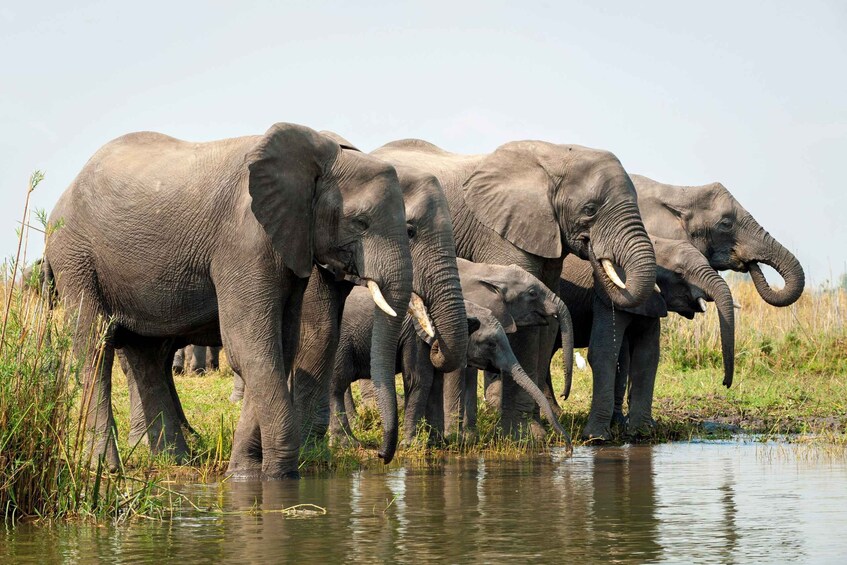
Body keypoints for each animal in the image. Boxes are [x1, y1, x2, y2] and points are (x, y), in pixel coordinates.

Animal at [43, 122, 413, 479]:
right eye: (360, 222)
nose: (381, 456)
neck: (320, 160)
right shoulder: (243, 241)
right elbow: (250, 349)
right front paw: (276, 477)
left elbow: (279, 347)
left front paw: (245, 473)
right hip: (75, 256)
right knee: (95, 347)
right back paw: (104, 468)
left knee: (146, 353)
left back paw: (176, 461)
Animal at [330, 258, 573, 447]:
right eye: (532, 293)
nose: (568, 447)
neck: (488, 271)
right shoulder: (415, 334)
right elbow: (422, 379)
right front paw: (425, 443)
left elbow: (440, 381)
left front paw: (444, 441)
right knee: (338, 383)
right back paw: (348, 442)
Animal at [372, 139, 656, 437]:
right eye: (590, 210)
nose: (566, 394)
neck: (554, 155)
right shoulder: (500, 233)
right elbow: (526, 328)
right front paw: (528, 435)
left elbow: (547, 323)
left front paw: (539, 427)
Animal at [552, 237, 736, 440]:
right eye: (680, 273)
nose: (725, 383)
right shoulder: (607, 295)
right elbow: (604, 352)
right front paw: (597, 437)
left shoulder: (652, 304)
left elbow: (647, 356)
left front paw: (641, 434)